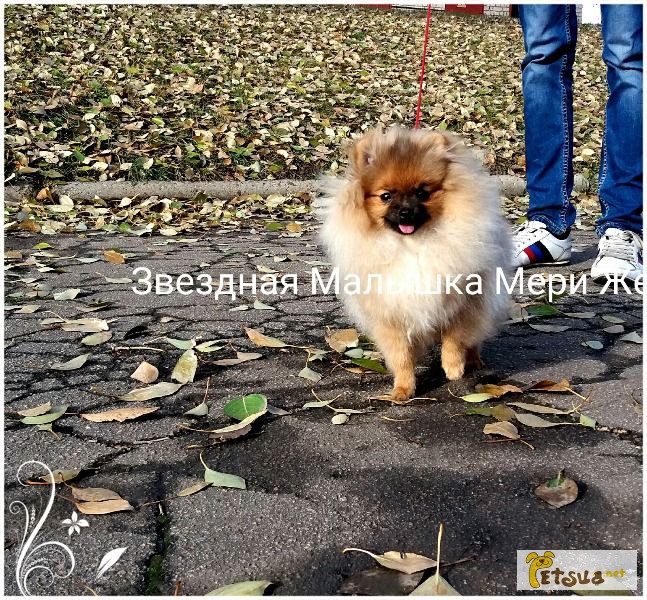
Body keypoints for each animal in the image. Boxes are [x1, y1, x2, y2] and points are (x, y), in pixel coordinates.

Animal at [318, 126, 512, 400]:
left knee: (474, 336)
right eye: (386, 196)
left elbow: (454, 339)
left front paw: (454, 368)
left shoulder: (461, 303)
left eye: (422, 193)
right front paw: (402, 388)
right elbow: (402, 357)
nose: (406, 211)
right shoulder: (392, 314)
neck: (411, 246)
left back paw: (473, 360)